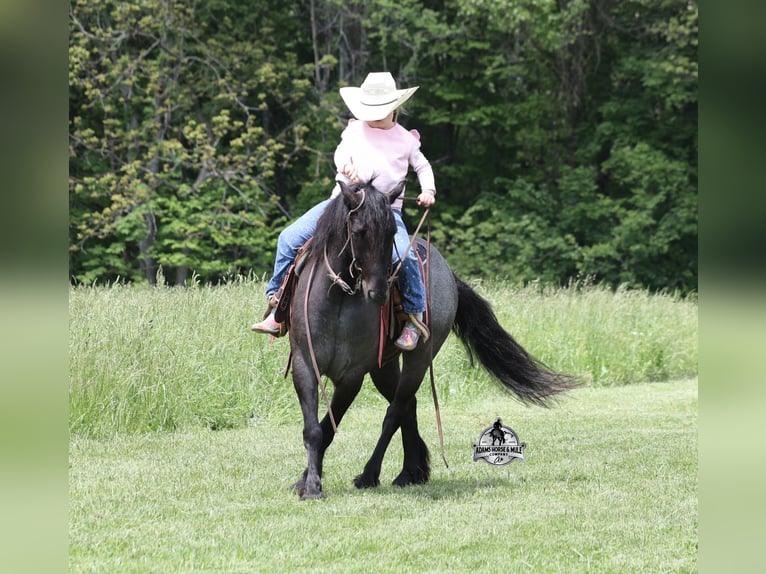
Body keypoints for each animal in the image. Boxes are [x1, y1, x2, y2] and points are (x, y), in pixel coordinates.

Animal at [288, 179, 576, 499]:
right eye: (359, 231)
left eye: (391, 233)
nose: (379, 292)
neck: (337, 299)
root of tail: (448, 273)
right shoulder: (304, 364)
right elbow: (314, 429)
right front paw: (308, 483)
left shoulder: (352, 377)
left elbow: (328, 427)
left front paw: (312, 483)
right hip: (384, 366)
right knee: (407, 406)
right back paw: (411, 471)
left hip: (418, 357)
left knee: (395, 411)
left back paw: (373, 474)